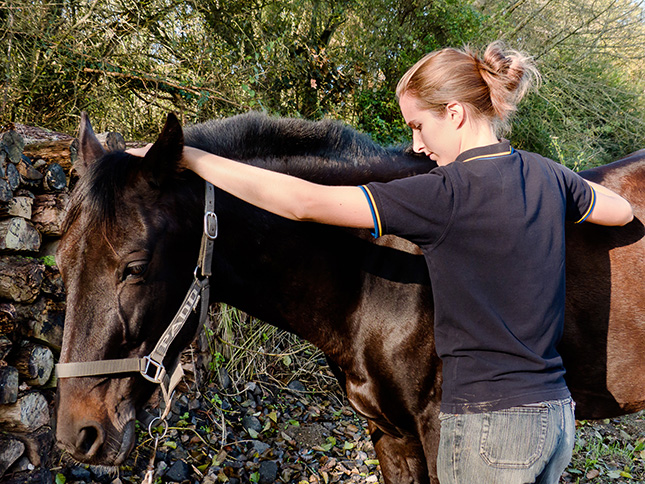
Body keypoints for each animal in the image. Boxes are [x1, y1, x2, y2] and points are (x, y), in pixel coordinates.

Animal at [54, 112, 644, 484]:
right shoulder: (391, 435)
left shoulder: (441, 432)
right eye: (61, 263)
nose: (78, 435)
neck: (380, 277)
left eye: (134, 268)